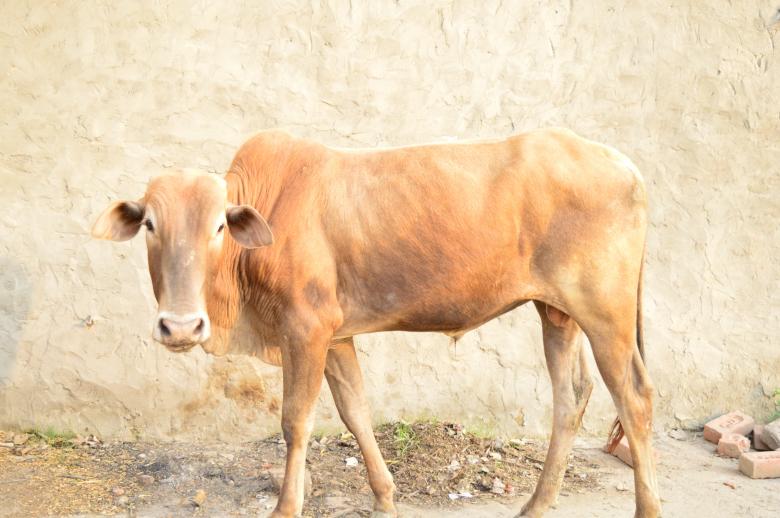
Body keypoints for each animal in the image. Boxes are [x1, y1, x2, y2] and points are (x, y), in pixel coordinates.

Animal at [92, 128, 658, 518]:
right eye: (149, 224)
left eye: (217, 227)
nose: (181, 327)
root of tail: (625, 165)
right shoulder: (336, 336)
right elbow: (355, 411)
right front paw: (385, 496)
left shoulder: (306, 329)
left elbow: (295, 420)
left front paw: (286, 506)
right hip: (558, 312)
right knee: (572, 395)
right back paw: (536, 504)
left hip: (605, 312)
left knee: (633, 397)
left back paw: (643, 507)